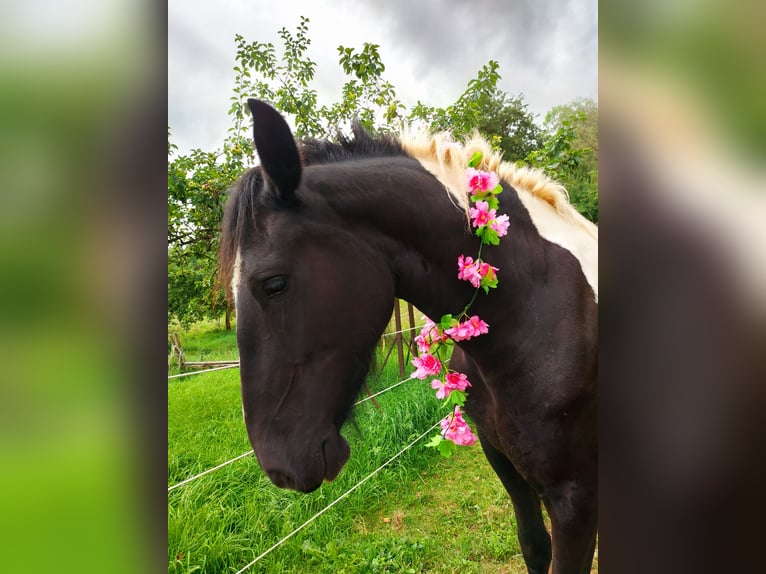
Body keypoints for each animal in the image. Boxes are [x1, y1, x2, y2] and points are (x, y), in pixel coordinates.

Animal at [218, 99, 598, 574]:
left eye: (273, 284)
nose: (278, 468)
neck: (538, 314)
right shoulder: (503, 460)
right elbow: (533, 545)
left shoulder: (576, 499)